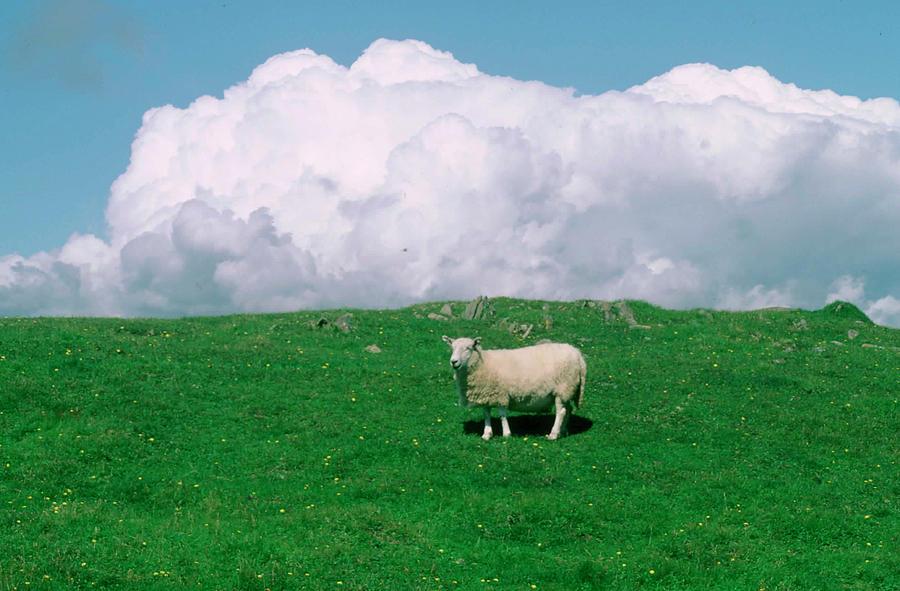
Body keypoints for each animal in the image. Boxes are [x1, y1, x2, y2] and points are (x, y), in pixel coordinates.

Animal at [442, 336, 584, 442]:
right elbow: (486, 414)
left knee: (561, 412)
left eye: (468, 348)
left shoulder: (500, 393)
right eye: (452, 348)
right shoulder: (486, 394)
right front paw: (487, 434)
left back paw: (553, 434)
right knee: (568, 409)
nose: (453, 361)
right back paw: (563, 431)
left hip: (562, 388)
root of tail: (577, 354)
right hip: (568, 390)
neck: (483, 363)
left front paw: (506, 434)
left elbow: (502, 415)